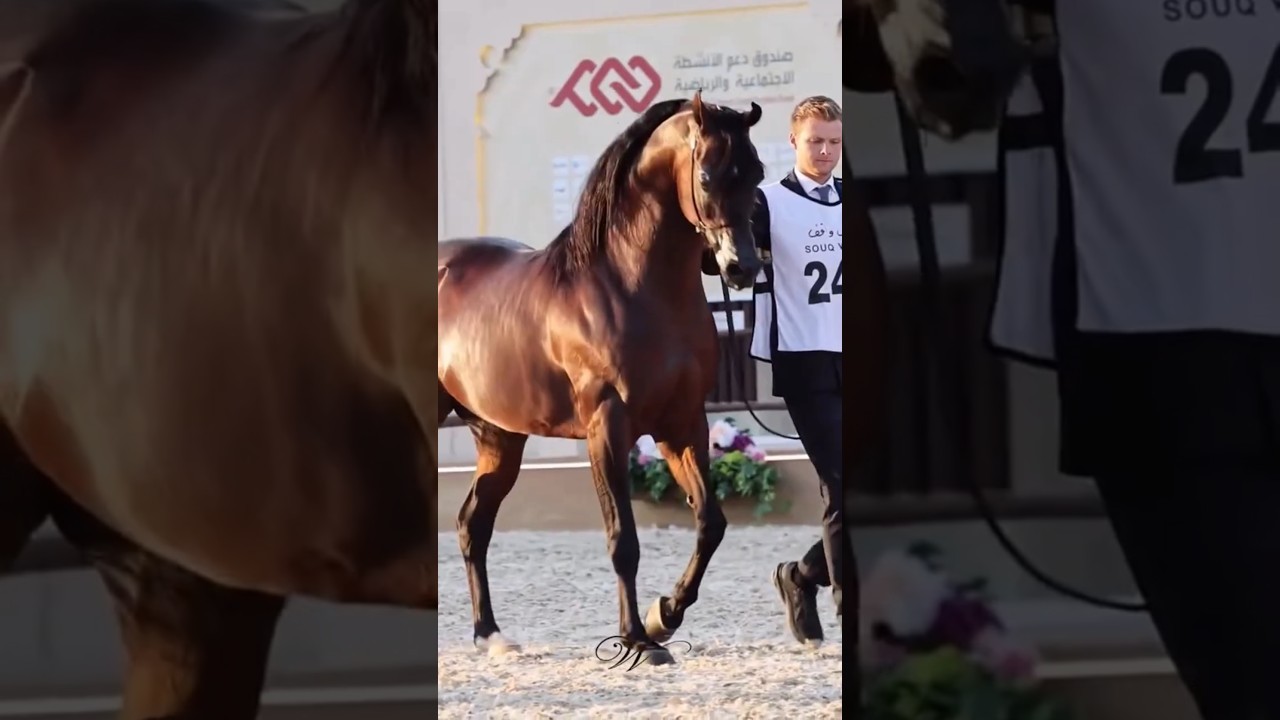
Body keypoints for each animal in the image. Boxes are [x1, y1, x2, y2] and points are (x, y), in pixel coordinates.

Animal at [437, 92, 764, 665]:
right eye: (706, 176)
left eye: (758, 174)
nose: (740, 267)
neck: (629, 285)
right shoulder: (607, 427)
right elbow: (622, 539)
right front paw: (637, 639)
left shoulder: (682, 425)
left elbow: (710, 523)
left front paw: (664, 616)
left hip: (498, 438)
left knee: (471, 526)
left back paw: (490, 634)